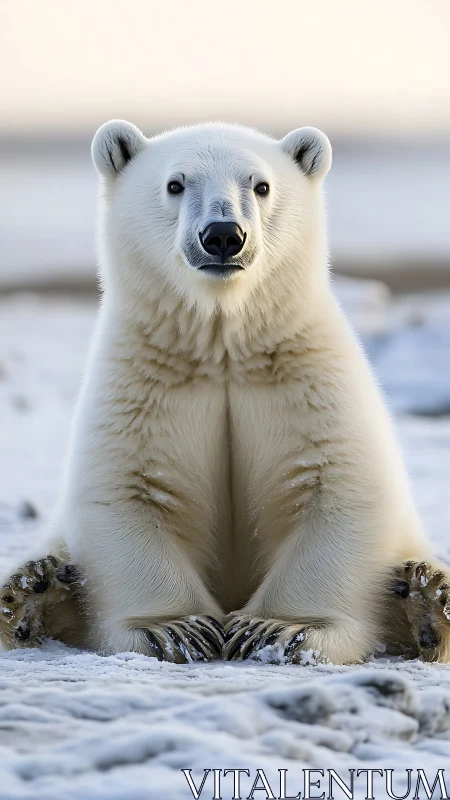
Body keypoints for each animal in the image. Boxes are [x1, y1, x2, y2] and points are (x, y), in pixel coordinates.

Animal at [1, 120, 450, 664]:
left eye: (261, 185)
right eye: (175, 184)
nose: (222, 236)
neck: (224, 347)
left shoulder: (308, 381)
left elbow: (338, 487)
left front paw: (278, 629)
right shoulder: (143, 385)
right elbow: (126, 491)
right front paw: (175, 629)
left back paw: (427, 597)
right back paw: (33, 592)